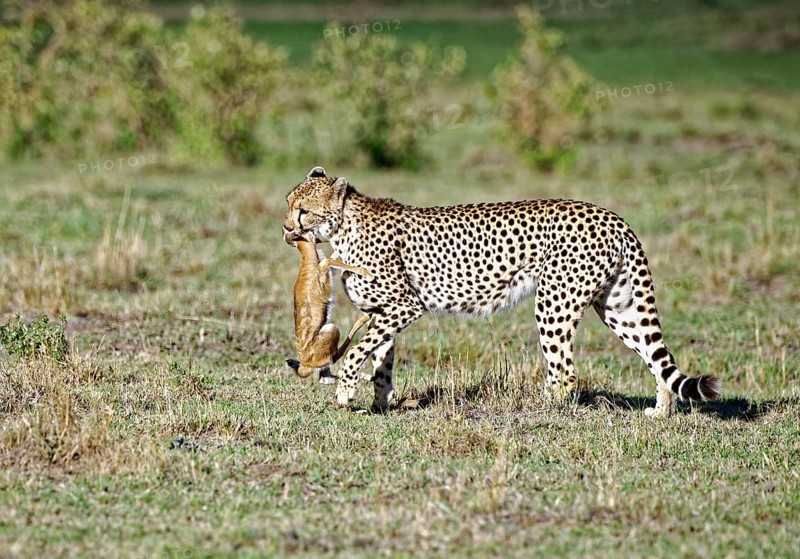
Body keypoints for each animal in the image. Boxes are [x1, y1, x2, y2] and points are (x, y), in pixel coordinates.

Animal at [282, 166, 722, 418]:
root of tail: (611, 215)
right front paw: (380, 403)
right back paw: (661, 413)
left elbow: (358, 352)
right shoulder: (382, 311)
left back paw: (535, 408)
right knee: (656, 359)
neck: (344, 226)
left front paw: (344, 393)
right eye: (288, 203)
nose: (286, 229)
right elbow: (381, 361)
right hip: (618, 305)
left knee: (565, 372)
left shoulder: (405, 305)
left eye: (303, 211)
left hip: (554, 303)